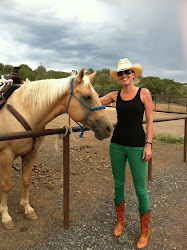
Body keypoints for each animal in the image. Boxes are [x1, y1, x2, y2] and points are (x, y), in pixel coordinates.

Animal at [0, 68, 112, 229]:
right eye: (87, 97)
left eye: (97, 95)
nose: (108, 128)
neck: (25, 111)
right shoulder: (6, 156)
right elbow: (6, 185)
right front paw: (5, 216)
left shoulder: (31, 153)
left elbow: (26, 180)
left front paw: (27, 208)